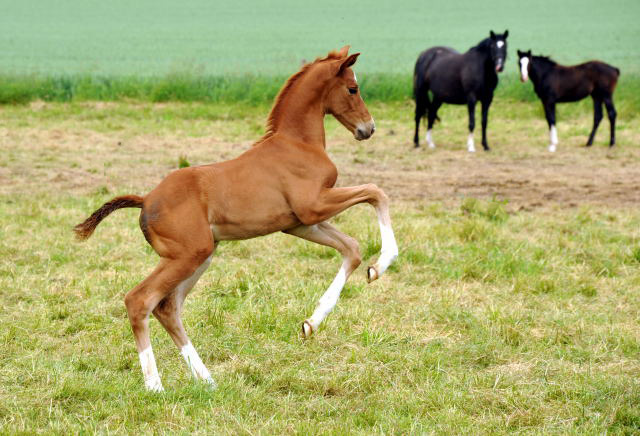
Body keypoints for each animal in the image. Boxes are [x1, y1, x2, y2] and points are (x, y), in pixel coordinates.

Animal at [74, 46, 396, 392]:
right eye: (353, 88)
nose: (368, 128)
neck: (297, 143)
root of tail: (146, 199)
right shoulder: (314, 206)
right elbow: (376, 192)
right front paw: (384, 262)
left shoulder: (298, 223)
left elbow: (352, 248)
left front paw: (313, 321)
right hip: (188, 256)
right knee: (140, 301)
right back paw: (155, 385)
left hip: (200, 257)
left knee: (167, 307)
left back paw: (207, 380)